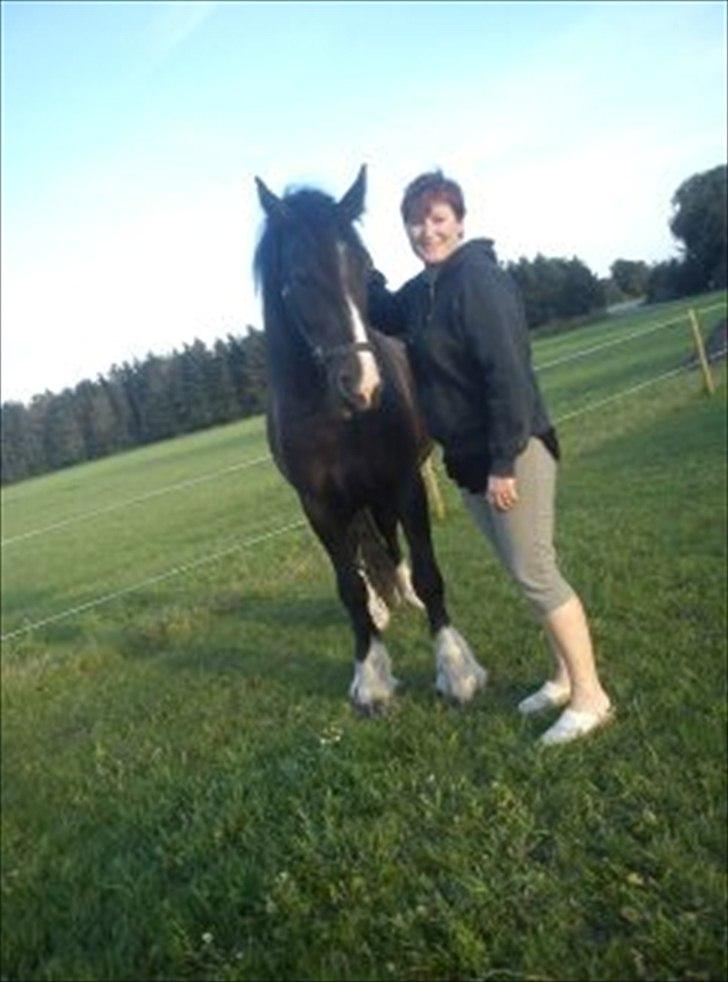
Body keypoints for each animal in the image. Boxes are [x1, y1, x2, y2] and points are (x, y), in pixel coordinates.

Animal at [253, 166, 487, 713]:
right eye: (299, 278)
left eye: (364, 268)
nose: (363, 386)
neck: (333, 419)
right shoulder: (318, 505)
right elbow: (348, 587)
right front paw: (372, 674)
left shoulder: (402, 482)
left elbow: (426, 568)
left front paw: (455, 668)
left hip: (382, 494)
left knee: (391, 544)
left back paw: (403, 596)